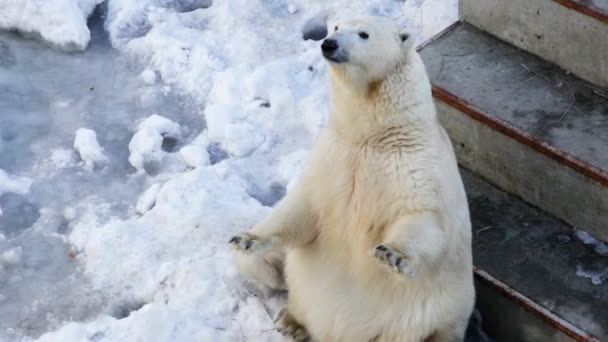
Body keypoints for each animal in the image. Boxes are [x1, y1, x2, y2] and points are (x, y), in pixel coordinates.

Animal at [230, 15, 472, 342]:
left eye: (363, 34)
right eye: (335, 27)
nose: (328, 44)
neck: (372, 136)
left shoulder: (415, 164)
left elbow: (421, 216)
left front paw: (391, 254)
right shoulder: (332, 156)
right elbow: (301, 207)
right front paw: (245, 238)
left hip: (450, 307)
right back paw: (291, 321)